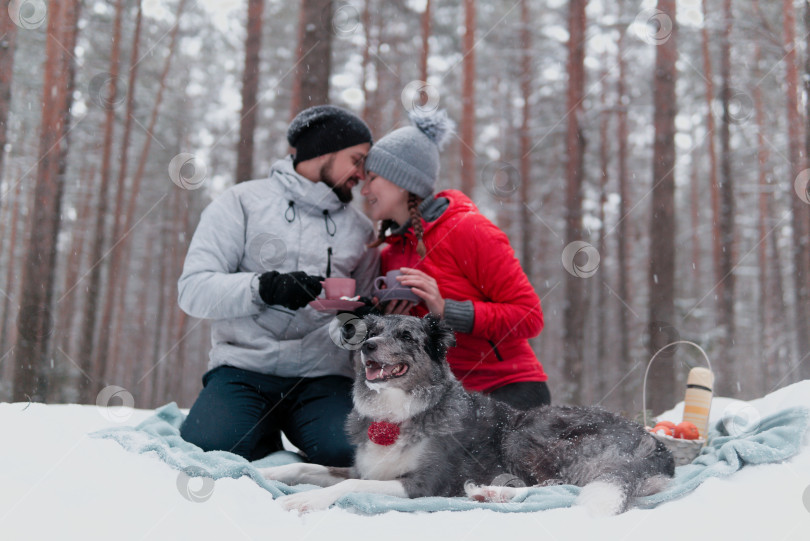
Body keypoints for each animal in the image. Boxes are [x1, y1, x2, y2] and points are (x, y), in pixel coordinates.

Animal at [262, 314, 672, 512]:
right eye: (371, 331)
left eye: (406, 336)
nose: (368, 347)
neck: (397, 412)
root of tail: (655, 444)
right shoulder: (366, 467)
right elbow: (309, 468)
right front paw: (267, 471)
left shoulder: (423, 485)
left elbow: (348, 486)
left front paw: (301, 500)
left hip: (526, 432)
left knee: (560, 485)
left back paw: (492, 492)